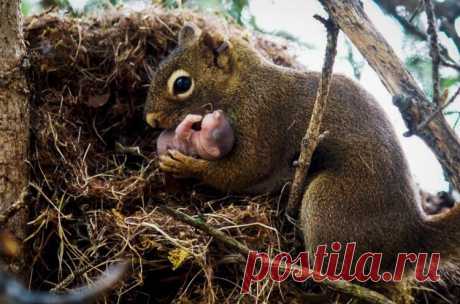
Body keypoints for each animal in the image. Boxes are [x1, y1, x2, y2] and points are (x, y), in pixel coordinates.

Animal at [144, 24, 460, 294]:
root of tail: (409, 236)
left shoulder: (262, 118)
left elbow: (244, 170)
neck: (244, 86)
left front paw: (185, 165)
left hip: (329, 204)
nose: (150, 120)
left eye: (182, 83)